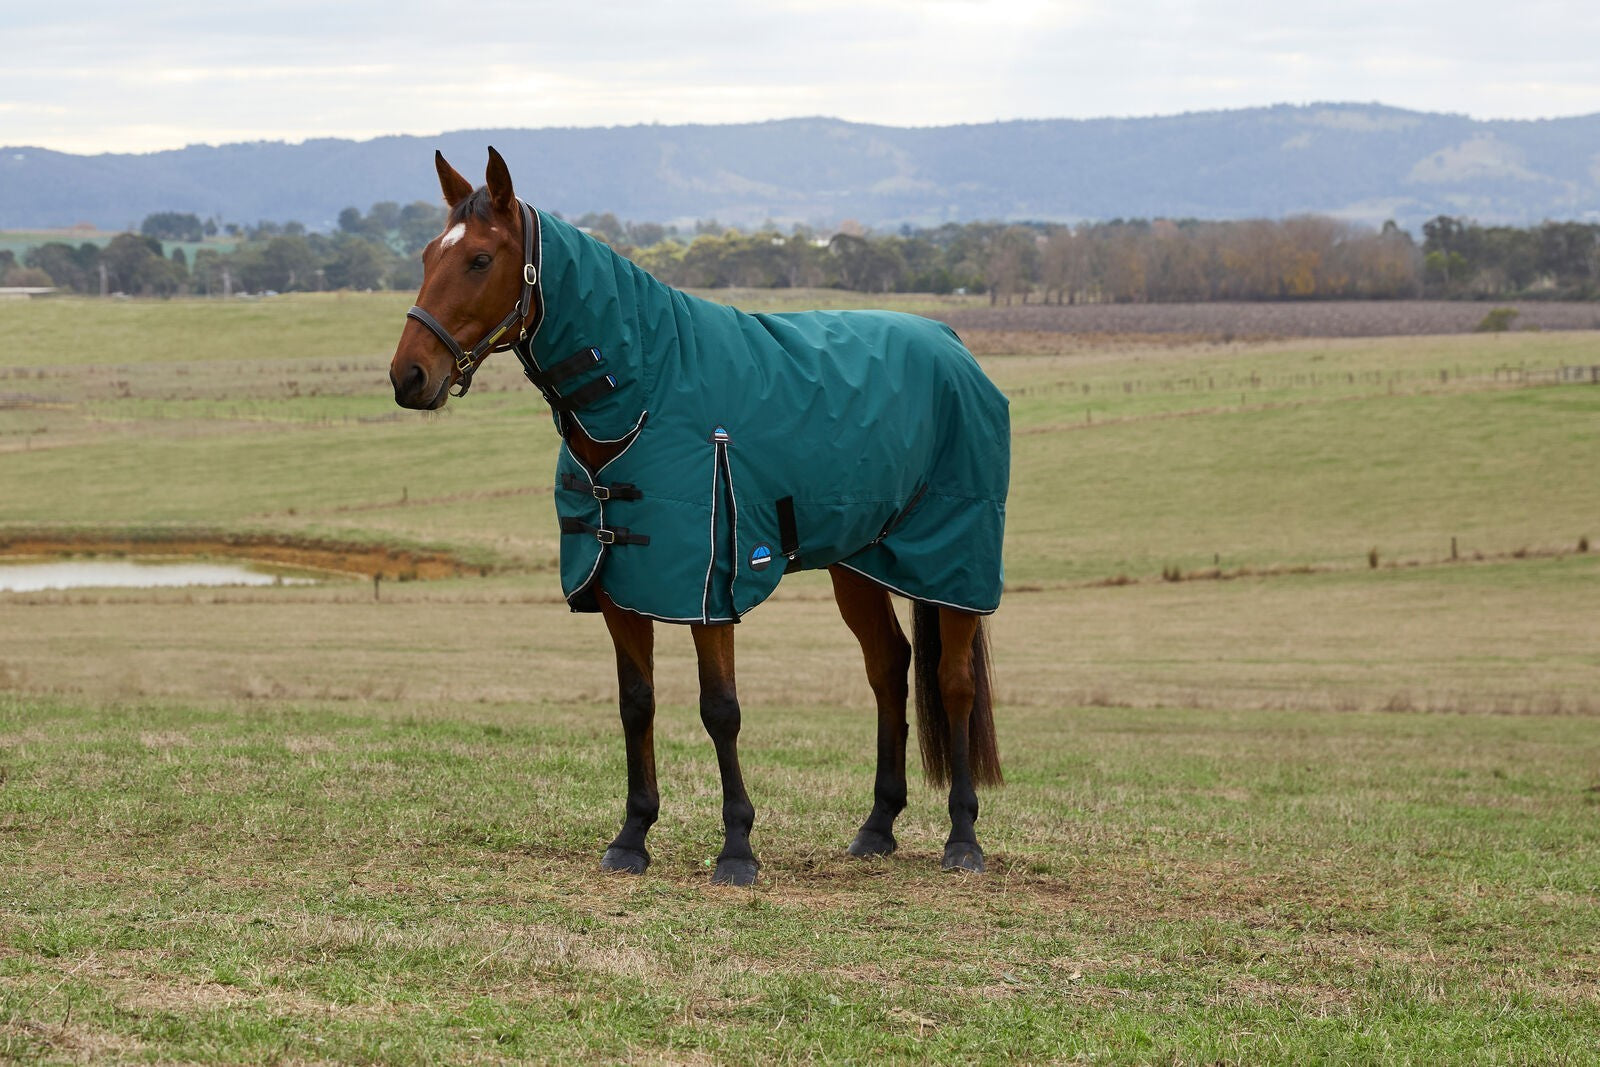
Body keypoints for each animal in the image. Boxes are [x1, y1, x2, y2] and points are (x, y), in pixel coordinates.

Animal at [389, 148, 1009, 886]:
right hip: (859, 562)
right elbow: (637, 703)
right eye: (428, 254)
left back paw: (963, 838)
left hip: (952, 563)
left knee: (954, 683)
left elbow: (721, 710)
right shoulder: (622, 583)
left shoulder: (710, 588)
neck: (647, 393)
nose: (407, 377)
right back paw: (877, 826)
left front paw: (737, 846)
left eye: (480, 259)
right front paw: (632, 835)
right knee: (889, 668)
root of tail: (952, 343)